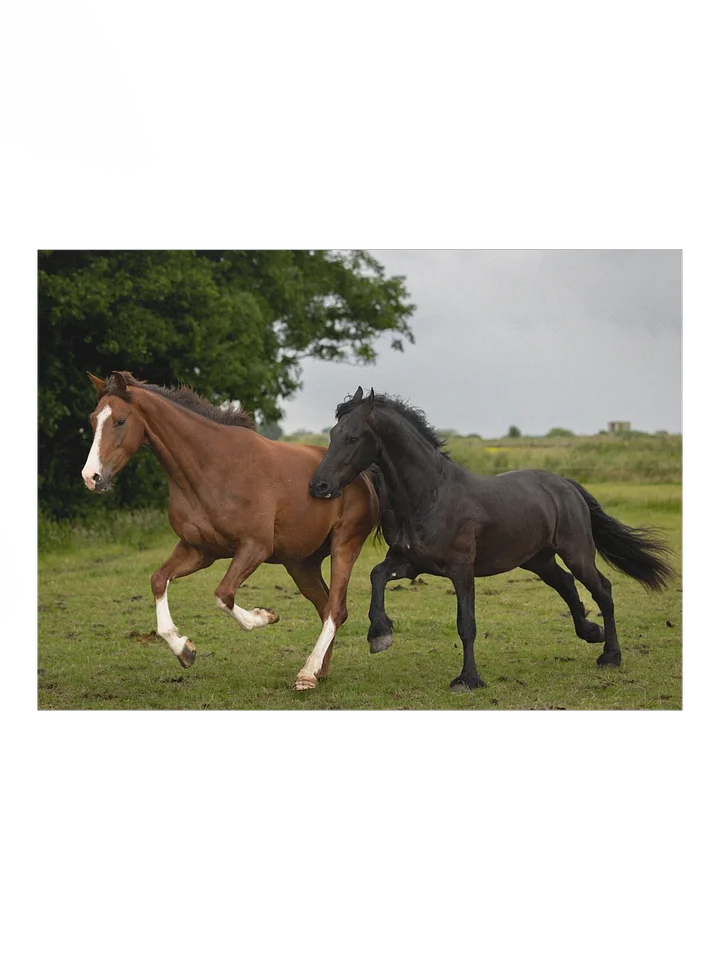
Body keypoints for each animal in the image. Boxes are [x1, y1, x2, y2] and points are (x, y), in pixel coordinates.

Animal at [81, 371, 384, 691]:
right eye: (93, 419)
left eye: (120, 421)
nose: (92, 477)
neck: (214, 468)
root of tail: (364, 476)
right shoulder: (199, 550)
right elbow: (158, 580)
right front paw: (184, 650)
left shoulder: (254, 547)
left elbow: (223, 594)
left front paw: (266, 616)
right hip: (302, 563)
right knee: (326, 607)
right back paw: (317, 671)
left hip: (344, 545)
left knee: (335, 609)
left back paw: (307, 673)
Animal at [309, 387, 675, 691]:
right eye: (333, 434)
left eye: (353, 438)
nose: (319, 486)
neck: (430, 495)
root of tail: (566, 485)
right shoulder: (409, 562)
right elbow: (376, 576)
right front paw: (380, 635)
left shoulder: (461, 569)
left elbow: (466, 624)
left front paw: (468, 680)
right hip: (538, 560)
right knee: (567, 585)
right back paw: (590, 633)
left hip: (577, 552)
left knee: (602, 590)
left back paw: (610, 656)